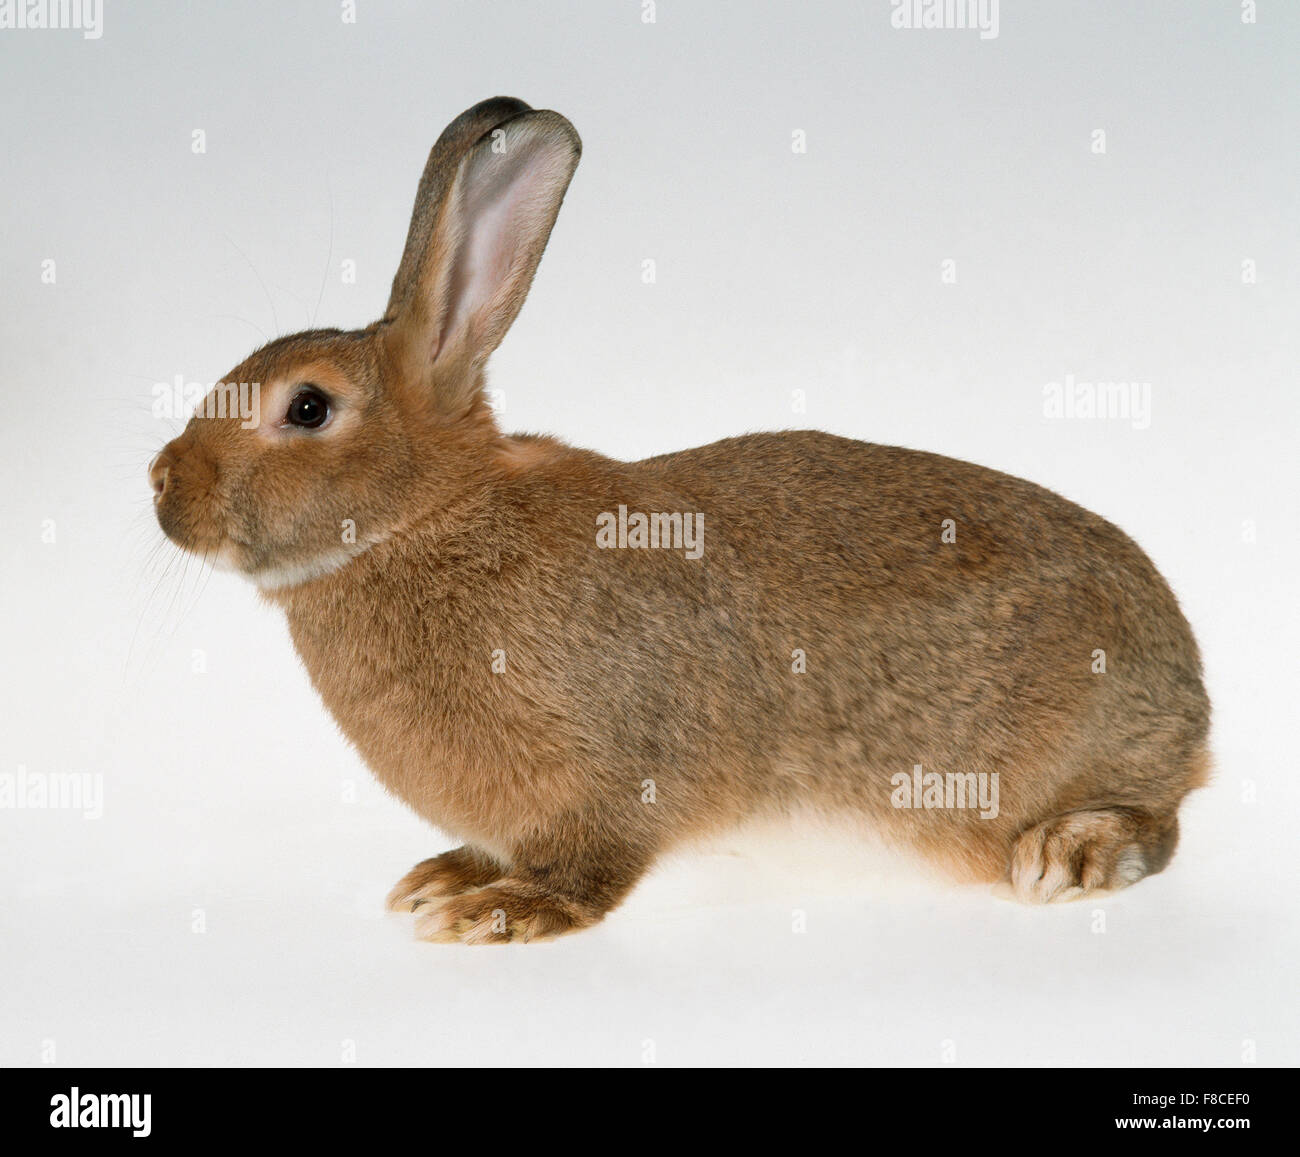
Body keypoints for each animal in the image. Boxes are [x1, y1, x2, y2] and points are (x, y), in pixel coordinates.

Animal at [149, 96, 1206, 935]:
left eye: (308, 408)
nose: (162, 484)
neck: (427, 515)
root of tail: (1192, 686)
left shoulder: (611, 782)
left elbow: (594, 864)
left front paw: (502, 911)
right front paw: (445, 880)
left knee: (1157, 820)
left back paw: (1069, 854)